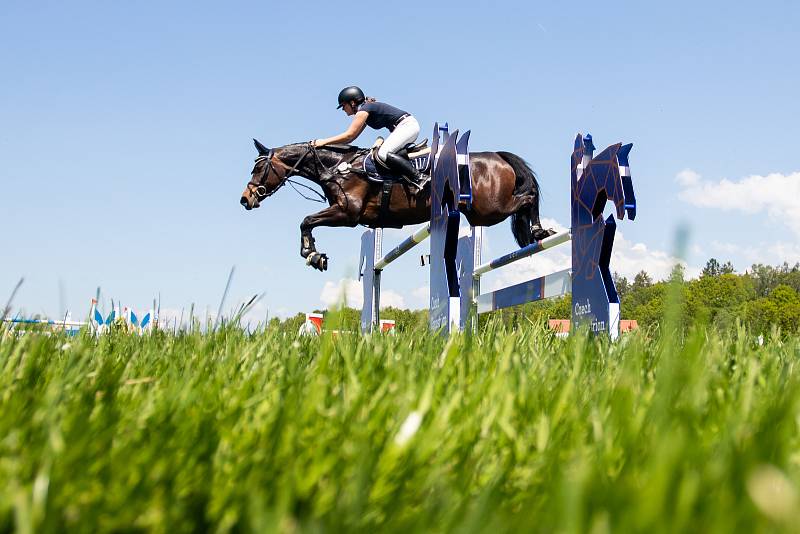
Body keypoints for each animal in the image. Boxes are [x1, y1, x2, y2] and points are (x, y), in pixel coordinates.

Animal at [238, 139, 552, 272]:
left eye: (258, 169)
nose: (245, 199)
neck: (337, 167)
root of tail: (497, 155)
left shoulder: (348, 213)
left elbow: (306, 220)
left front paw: (312, 255)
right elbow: (307, 221)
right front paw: (314, 255)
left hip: (488, 209)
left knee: (528, 197)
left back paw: (540, 231)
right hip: (481, 213)